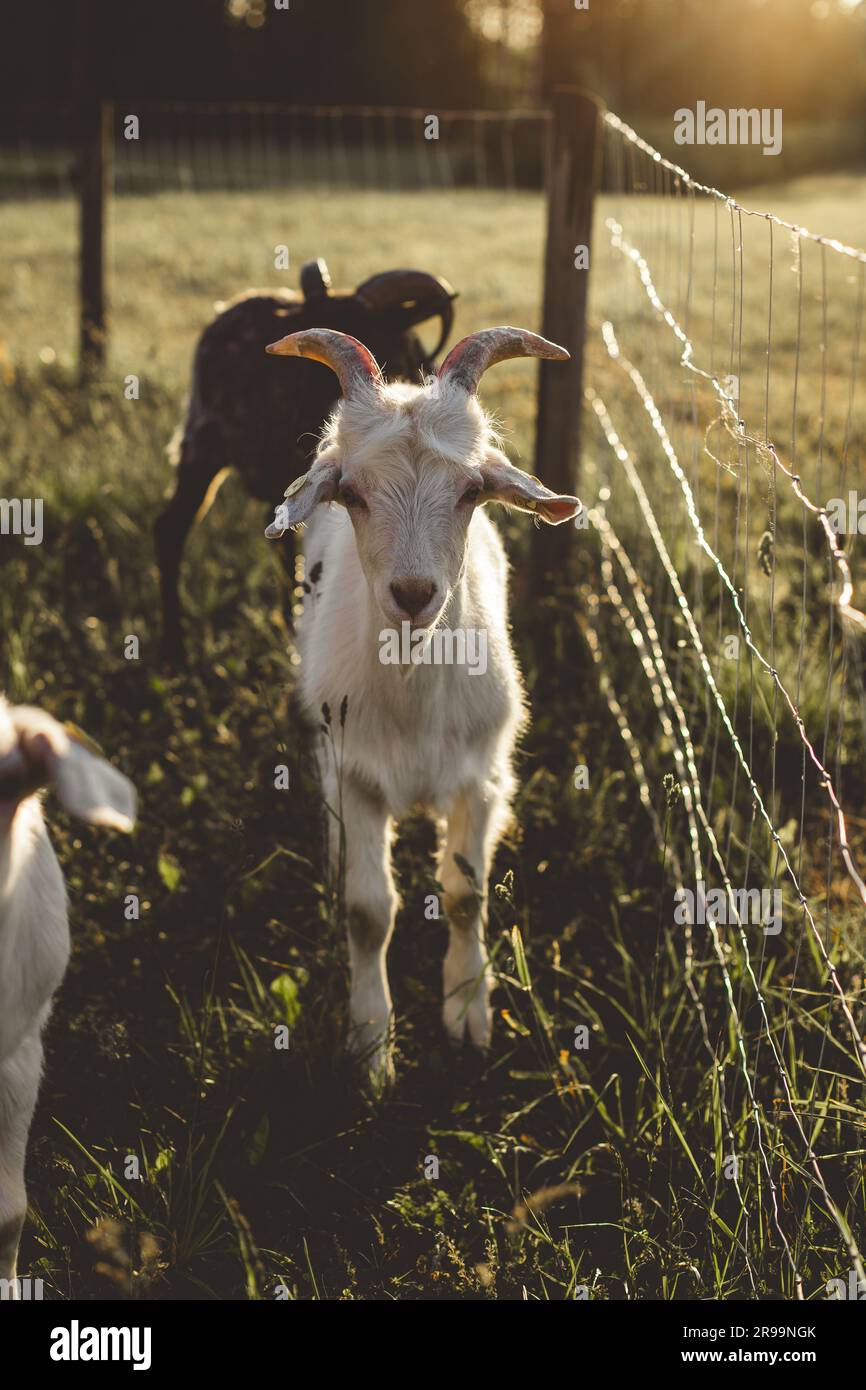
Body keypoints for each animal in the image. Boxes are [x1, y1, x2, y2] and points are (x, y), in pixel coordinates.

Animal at [265, 322, 583, 1073]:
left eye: (471, 490)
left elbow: (465, 897)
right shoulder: (353, 775)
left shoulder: (482, 778)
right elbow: (368, 911)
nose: (413, 595)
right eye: (350, 492)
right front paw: (370, 1042)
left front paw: (467, 1015)